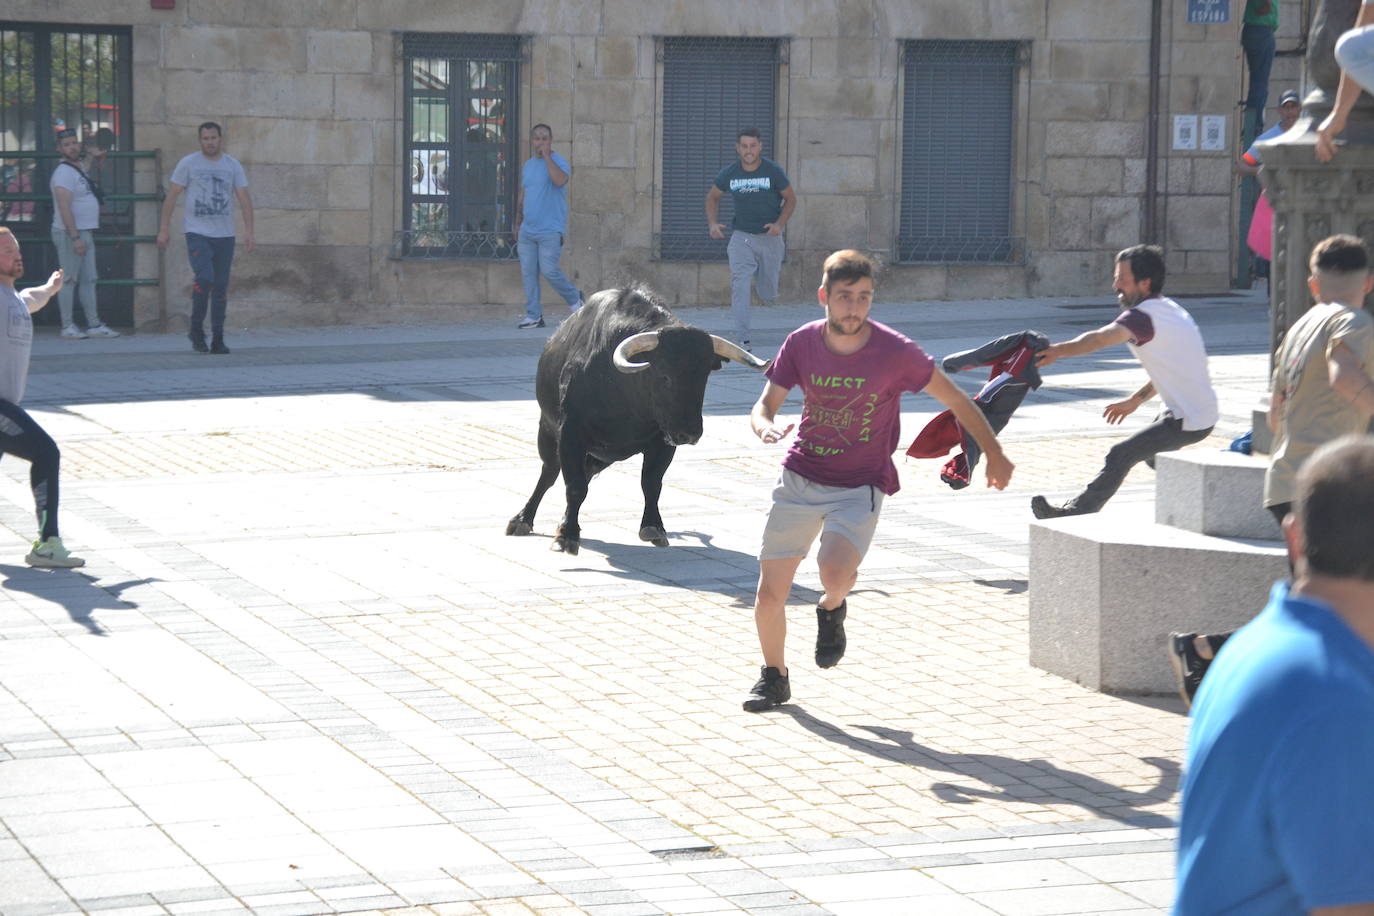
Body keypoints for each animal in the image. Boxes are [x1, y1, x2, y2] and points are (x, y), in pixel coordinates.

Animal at [505, 284, 769, 552]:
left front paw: (653, 527)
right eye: (664, 374)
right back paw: (522, 519)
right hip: (548, 432)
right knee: (549, 473)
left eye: (703, 375)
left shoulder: (663, 441)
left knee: (584, 475)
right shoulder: (571, 434)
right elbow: (575, 486)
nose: (689, 432)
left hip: (600, 456)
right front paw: (567, 535)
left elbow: (651, 483)